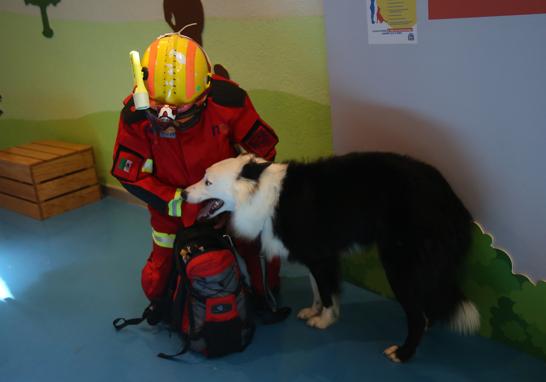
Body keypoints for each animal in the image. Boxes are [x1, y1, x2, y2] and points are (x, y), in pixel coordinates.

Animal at [182, 151, 476, 362]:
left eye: (208, 182)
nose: (183, 193)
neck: (260, 193)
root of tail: (452, 200)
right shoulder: (316, 257)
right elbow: (317, 288)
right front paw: (315, 312)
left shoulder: (321, 258)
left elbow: (325, 291)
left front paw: (323, 320)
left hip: (399, 265)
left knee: (416, 315)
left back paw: (403, 353)